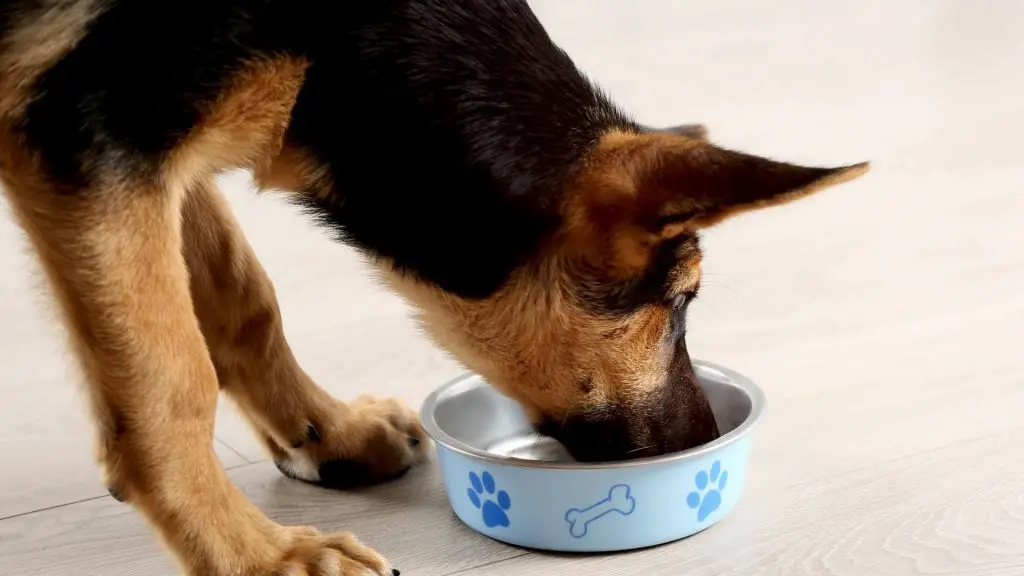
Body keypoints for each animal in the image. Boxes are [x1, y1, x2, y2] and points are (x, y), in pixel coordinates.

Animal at [0, 1, 864, 573]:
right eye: (682, 300)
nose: (702, 452)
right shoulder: (98, 142)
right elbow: (170, 387)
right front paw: (260, 558)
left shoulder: (152, 148)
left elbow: (243, 298)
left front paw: (323, 432)